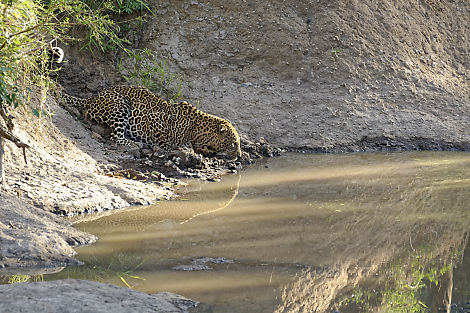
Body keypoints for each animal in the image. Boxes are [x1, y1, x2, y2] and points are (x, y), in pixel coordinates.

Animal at [60, 84, 241, 158]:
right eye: (234, 144)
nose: (239, 155)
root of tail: (92, 98)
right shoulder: (156, 121)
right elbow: (166, 143)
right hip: (120, 105)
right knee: (115, 137)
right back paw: (136, 144)